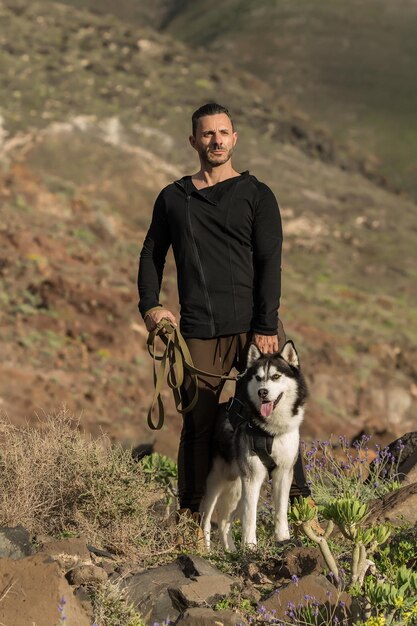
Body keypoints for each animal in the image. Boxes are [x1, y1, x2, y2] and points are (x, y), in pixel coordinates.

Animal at [200, 338, 308, 548]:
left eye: (276, 376)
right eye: (258, 378)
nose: (262, 392)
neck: (271, 430)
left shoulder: (283, 473)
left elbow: (281, 512)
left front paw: (283, 539)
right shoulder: (253, 477)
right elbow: (250, 517)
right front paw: (250, 547)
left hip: (236, 486)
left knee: (224, 522)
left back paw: (231, 551)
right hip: (215, 484)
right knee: (205, 519)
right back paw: (205, 550)